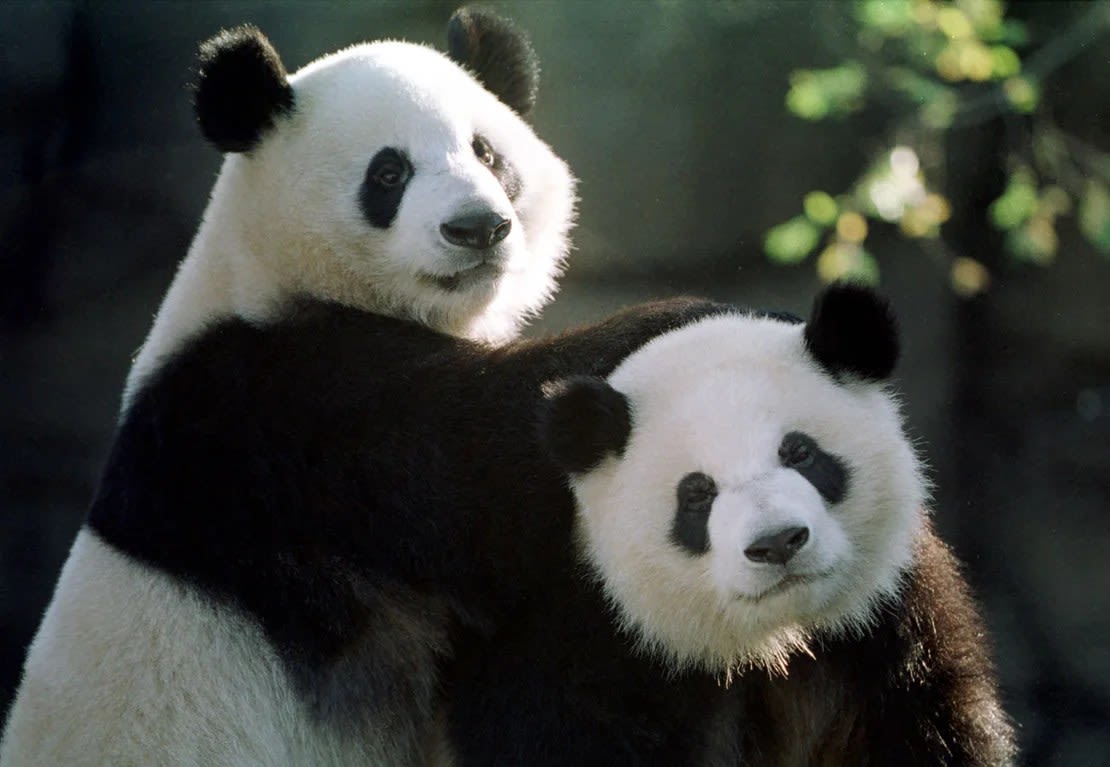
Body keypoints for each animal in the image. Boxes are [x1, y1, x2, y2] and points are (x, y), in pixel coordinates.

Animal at [441, 283, 1016, 767]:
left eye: (800, 453)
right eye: (697, 494)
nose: (777, 543)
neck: (772, 643)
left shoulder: (892, 625)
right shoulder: (583, 648)